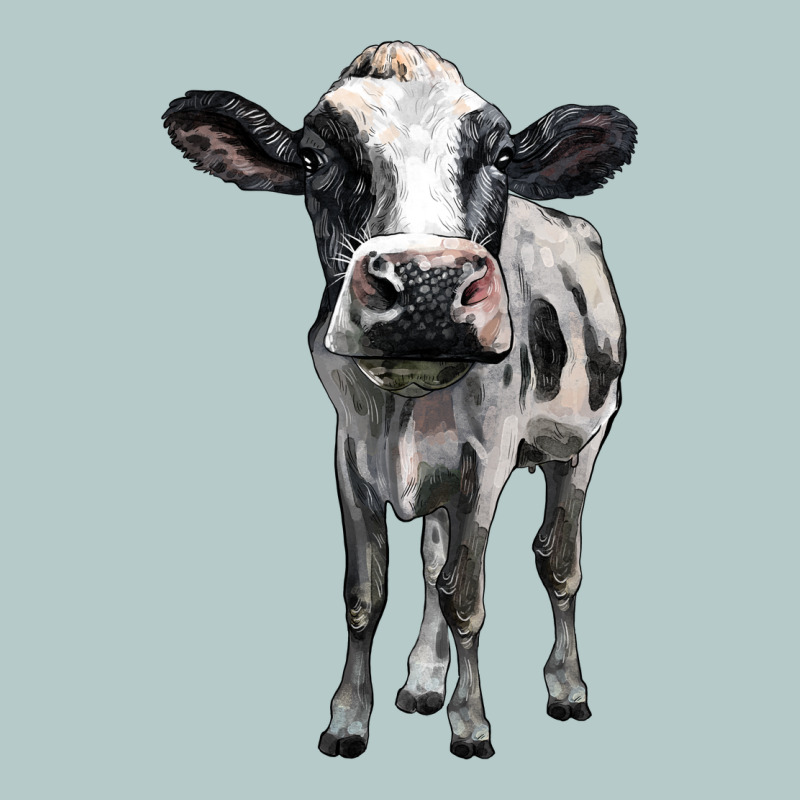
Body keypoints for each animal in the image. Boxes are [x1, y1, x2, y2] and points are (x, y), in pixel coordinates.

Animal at [163, 41, 636, 760]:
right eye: (313, 157)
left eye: (501, 156)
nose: (426, 285)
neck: (405, 406)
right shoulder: (351, 453)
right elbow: (367, 593)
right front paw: (348, 720)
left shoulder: (488, 460)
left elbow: (466, 597)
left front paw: (471, 724)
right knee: (433, 562)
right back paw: (421, 683)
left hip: (582, 444)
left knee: (558, 562)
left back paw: (566, 688)